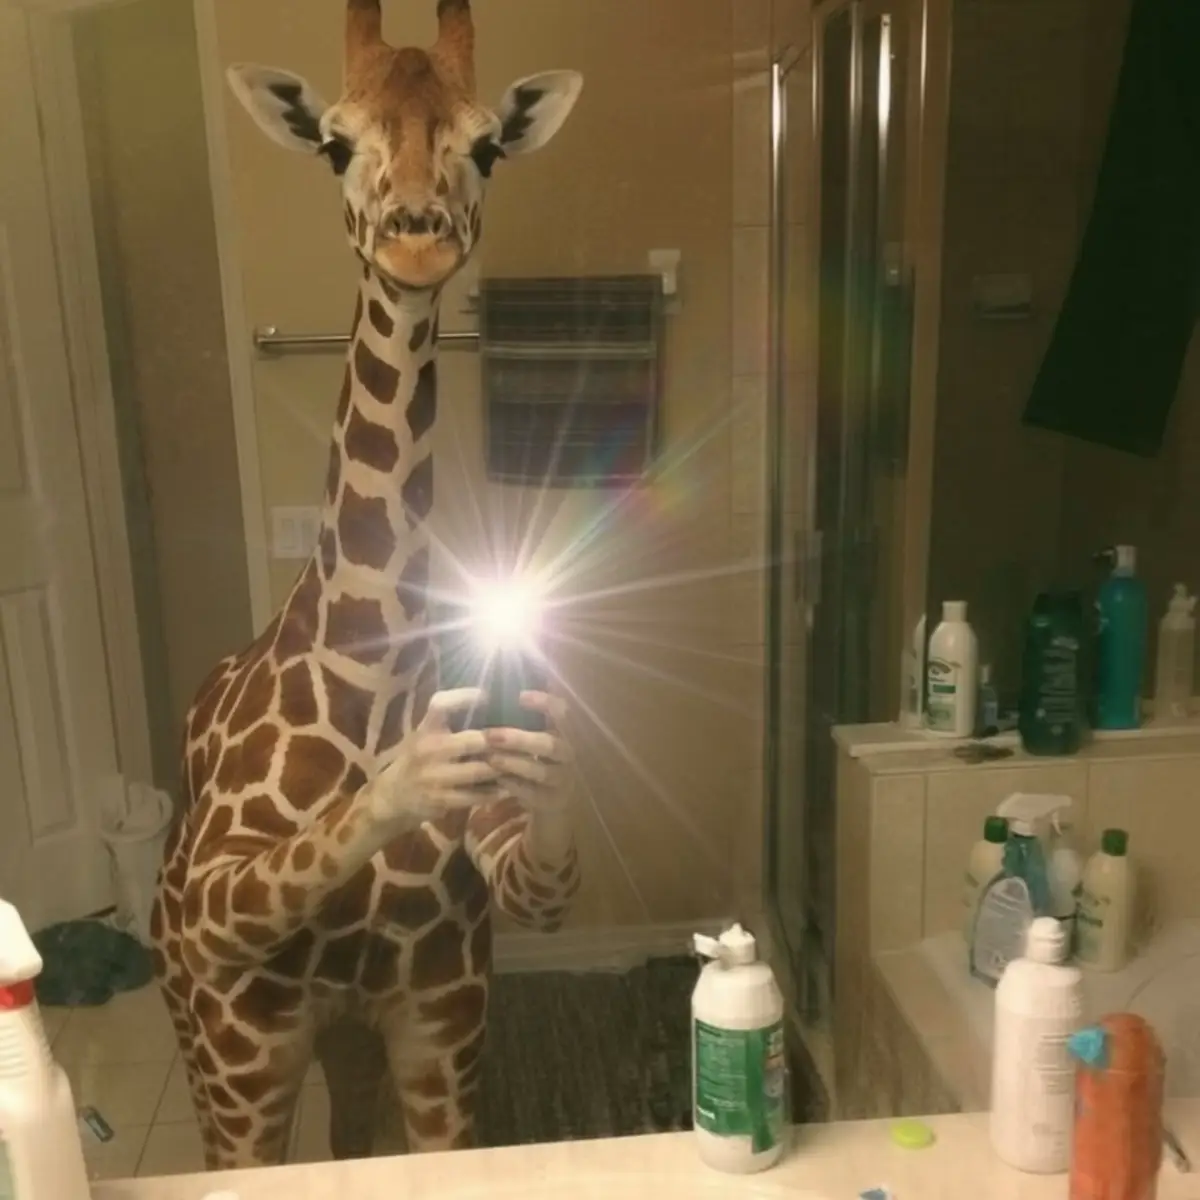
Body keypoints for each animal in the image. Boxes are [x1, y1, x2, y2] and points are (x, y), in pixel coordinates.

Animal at [149, 0, 584, 1170]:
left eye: (487, 144)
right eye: (335, 144)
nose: (416, 237)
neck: (366, 684)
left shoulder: (440, 1024)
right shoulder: (241, 1019)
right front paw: (403, 783)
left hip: (346, 1046)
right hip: (200, 1033)